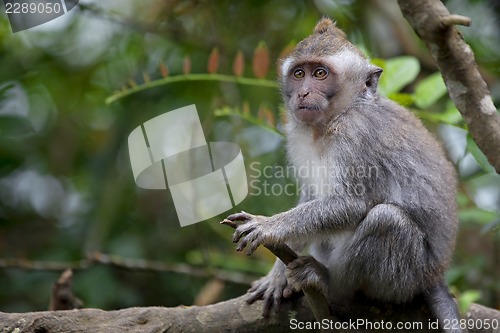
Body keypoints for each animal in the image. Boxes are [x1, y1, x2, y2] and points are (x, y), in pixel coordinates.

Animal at [225, 18, 462, 332]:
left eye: (320, 73)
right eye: (299, 73)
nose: (302, 93)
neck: (330, 122)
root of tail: (435, 276)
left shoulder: (356, 133)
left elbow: (353, 203)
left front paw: (267, 226)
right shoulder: (297, 134)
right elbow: (311, 196)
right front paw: (276, 276)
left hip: (409, 277)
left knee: (387, 220)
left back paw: (330, 285)